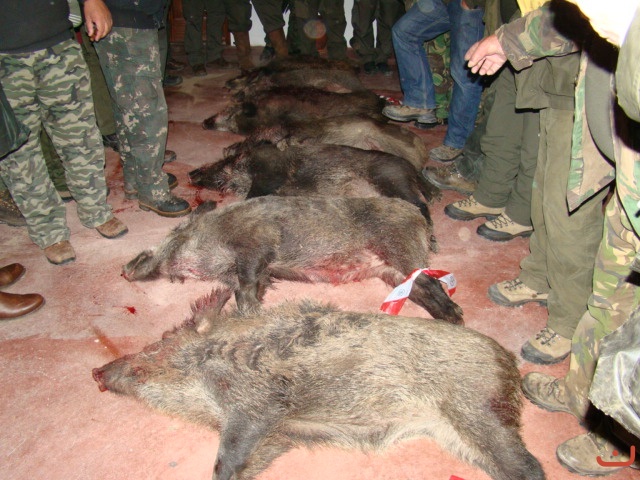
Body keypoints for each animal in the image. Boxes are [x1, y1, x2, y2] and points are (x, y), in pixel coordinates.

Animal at [92, 293, 546, 480]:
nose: (97, 372)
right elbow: (247, 462)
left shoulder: (257, 403)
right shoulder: (279, 436)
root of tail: (509, 362)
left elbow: (225, 459)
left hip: (478, 409)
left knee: (531, 467)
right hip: (454, 434)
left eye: (156, 347)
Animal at [122, 196, 463, 324]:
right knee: (421, 289)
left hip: (400, 251)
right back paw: (447, 318)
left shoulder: (256, 243)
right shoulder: (259, 269)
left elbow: (245, 286)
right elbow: (254, 285)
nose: (124, 269)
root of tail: (418, 217)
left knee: (432, 283)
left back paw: (456, 318)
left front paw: (250, 313)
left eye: (177, 232)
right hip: (391, 272)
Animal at [187, 141, 440, 224]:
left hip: (391, 181)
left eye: (221, 164)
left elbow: (256, 194)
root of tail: (410, 167)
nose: (191, 173)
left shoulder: (271, 172)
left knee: (420, 205)